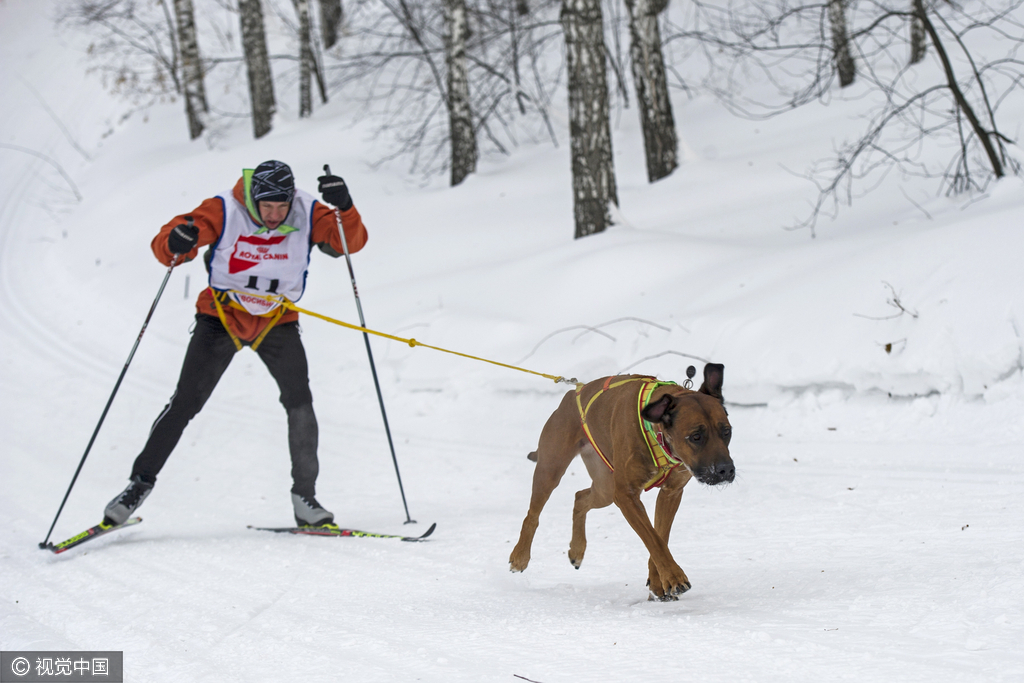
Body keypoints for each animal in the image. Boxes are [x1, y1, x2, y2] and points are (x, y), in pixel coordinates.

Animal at [507, 362, 733, 598]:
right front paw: (674, 577)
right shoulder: (626, 495)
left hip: (605, 486)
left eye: (727, 432)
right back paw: (520, 556)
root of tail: (572, 393)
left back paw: (577, 549)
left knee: (580, 498)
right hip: (551, 467)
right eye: (695, 437)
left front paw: (658, 582)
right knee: (533, 514)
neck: (658, 434)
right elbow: (654, 540)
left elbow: (660, 537)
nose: (726, 470)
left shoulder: (671, 493)